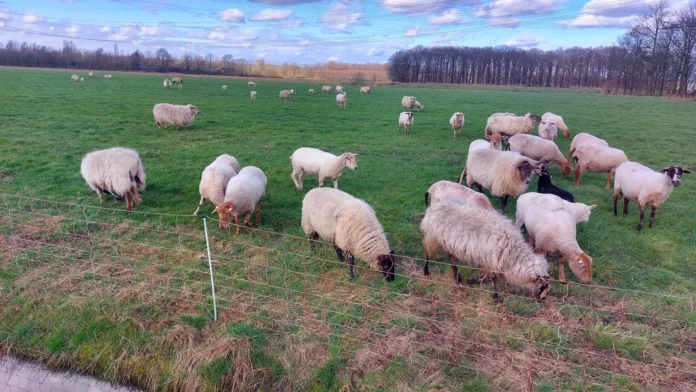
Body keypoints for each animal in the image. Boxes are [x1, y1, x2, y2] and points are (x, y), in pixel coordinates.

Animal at [418, 201, 548, 302]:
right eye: (543, 285)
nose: (543, 299)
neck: (512, 251)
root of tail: (434, 207)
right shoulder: (491, 260)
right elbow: (493, 279)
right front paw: (496, 297)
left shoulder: (489, 260)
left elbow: (487, 276)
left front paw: (476, 281)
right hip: (432, 238)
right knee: (427, 254)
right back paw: (426, 271)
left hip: (448, 243)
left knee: (451, 259)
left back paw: (458, 279)